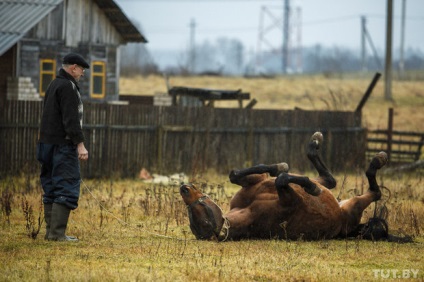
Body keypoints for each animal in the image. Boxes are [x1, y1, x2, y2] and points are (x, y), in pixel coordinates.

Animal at [179, 132, 388, 240]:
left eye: (199, 208)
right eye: (198, 216)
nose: (184, 188)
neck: (247, 211)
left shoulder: (254, 181)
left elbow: (237, 174)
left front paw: (279, 166)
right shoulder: (290, 201)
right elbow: (281, 180)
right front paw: (310, 188)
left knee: (329, 180)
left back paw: (314, 143)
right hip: (354, 206)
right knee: (374, 192)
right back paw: (377, 161)